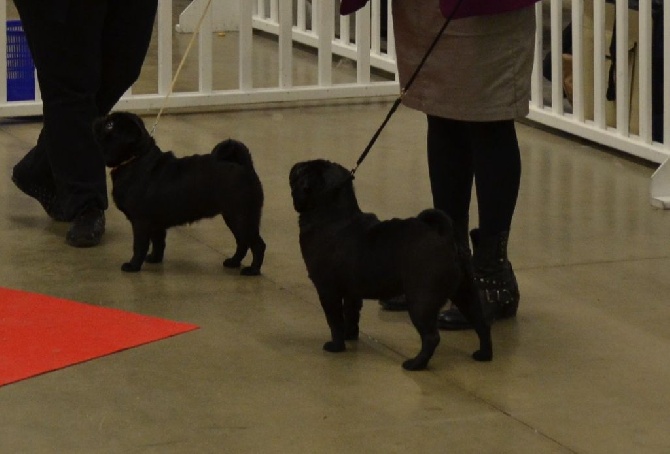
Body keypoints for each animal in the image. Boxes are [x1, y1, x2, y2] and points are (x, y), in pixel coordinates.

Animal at [94, 111, 266, 274]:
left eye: (109, 125)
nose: (98, 120)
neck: (135, 159)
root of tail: (245, 166)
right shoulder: (156, 224)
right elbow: (158, 243)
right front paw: (155, 258)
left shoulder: (140, 222)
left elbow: (139, 246)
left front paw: (134, 265)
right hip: (233, 217)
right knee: (243, 242)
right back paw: (234, 262)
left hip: (241, 217)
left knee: (257, 244)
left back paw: (253, 270)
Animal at [288, 159, 494, 368]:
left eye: (301, 172)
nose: (295, 166)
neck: (333, 214)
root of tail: (445, 238)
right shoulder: (352, 293)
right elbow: (351, 314)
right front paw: (349, 336)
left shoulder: (327, 291)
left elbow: (335, 321)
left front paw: (337, 346)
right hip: (465, 293)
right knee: (481, 324)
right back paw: (484, 354)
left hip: (421, 301)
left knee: (431, 336)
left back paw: (416, 364)